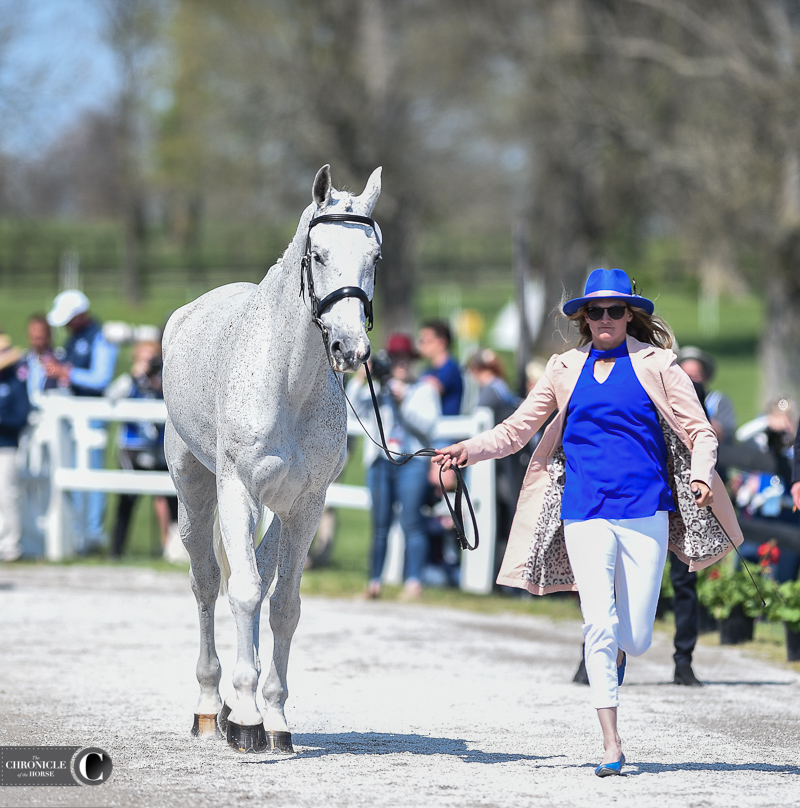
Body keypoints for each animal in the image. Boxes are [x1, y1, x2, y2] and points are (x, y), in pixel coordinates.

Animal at [162, 164, 382, 752]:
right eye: (319, 254)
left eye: (374, 256)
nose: (351, 348)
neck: (287, 381)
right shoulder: (238, 490)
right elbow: (241, 592)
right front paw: (248, 719)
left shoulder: (306, 506)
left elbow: (283, 605)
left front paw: (275, 717)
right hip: (195, 491)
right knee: (207, 582)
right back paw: (212, 707)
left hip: (279, 511)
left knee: (259, 580)